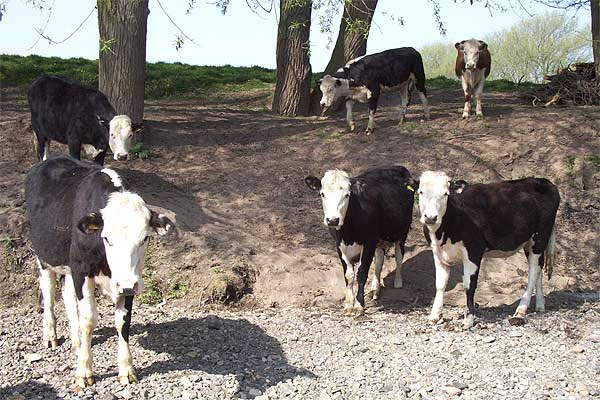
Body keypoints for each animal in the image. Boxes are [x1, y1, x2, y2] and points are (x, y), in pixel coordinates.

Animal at [27, 156, 175, 390]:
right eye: (106, 238)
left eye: (145, 238)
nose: (128, 284)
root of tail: (50, 159)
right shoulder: (82, 270)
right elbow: (88, 319)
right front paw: (84, 372)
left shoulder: (125, 281)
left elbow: (123, 322)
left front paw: (126, 370)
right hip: (45, 257)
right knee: (49, 292)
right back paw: (51, 335)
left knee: (68, 295)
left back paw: (76, 341)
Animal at [304, 166, 418, 316]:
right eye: (322, 194)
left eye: (347, 195)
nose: (333, 220)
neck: (348, 233)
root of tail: (398, 168)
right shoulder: (339, 245)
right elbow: (349, 275)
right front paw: (348, 304)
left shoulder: (369, 242)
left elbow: (362, 273)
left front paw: (359, 304)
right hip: (379, 239)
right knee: (379, 260)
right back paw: (375, 289)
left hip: (401, 232)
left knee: (399, 256)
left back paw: (398, 282)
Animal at [414, 170, 560, 330]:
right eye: (421, 192)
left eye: (445, 194)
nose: (430, 217)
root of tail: (543, 181)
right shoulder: (438, 253)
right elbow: (440, 285)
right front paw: (434, 315)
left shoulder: (474, 251)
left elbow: (469, 286)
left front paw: (469, 319)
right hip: (530, 242)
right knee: (539, 268)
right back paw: (540, 306)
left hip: (539, 237)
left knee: (533, 272)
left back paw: (521, 310)